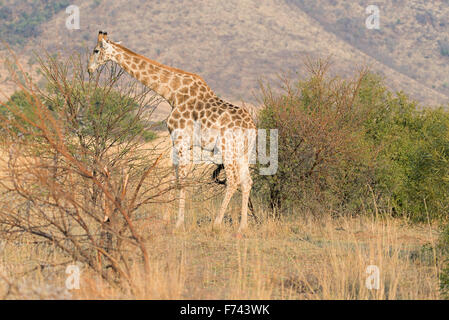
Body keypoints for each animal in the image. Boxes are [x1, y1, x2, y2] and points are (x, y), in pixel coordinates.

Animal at [88, 30, 256, 232]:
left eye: (96, 50)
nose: (89, 69)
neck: (173, 93)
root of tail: (252, 128)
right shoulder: (184, 143)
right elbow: (173, 177)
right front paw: (168, 219)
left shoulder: (180, 139)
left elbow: (181, 179)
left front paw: (178, 223)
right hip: (243, 152)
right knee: (247, 181)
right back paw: (242, 227)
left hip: (227, 149)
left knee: (233, 180)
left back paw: (216, 223)